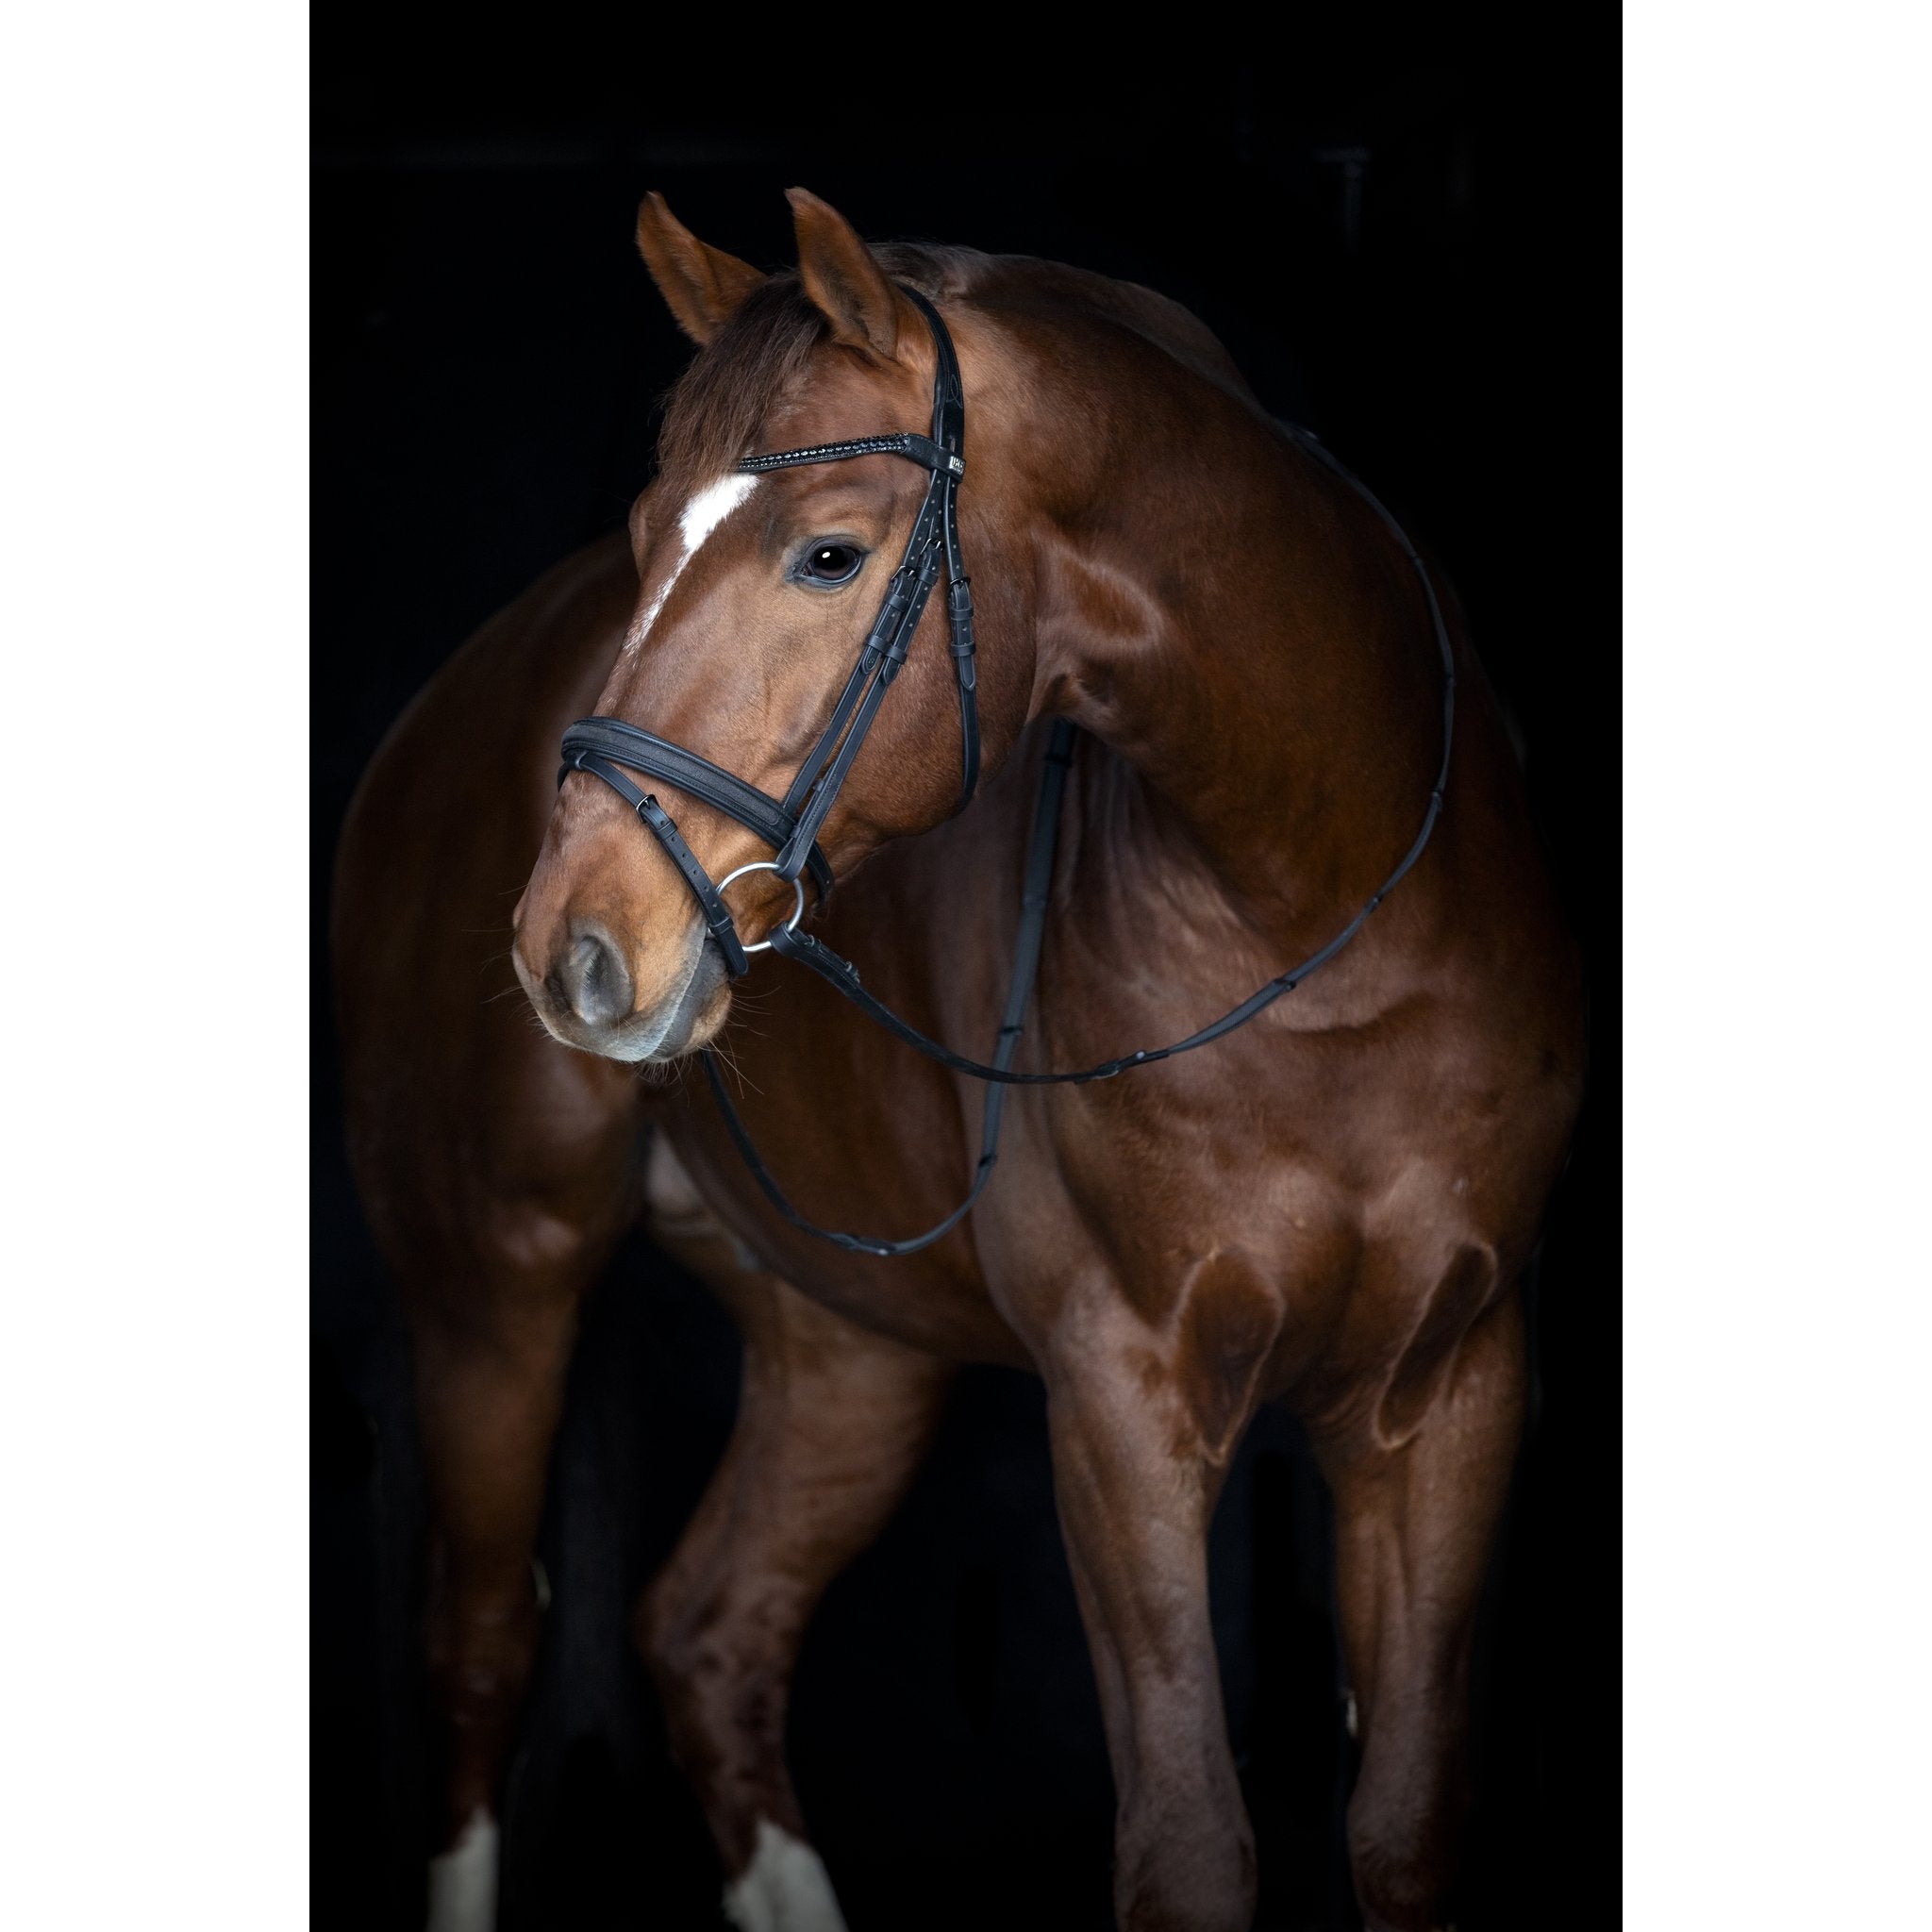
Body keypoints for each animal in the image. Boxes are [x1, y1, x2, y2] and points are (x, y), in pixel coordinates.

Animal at [330, 186, 1585, 1932]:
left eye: (829, 552)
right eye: (644, 536)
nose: (569, 943)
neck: (1318, 911)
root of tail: (455, 701)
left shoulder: (1450, 1391)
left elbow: (1405, 1830)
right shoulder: (1120, 1401)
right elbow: (1187, 1845)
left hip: (850, 1354)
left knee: (709, 1627)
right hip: (492, 1294)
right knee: (478, 1655)